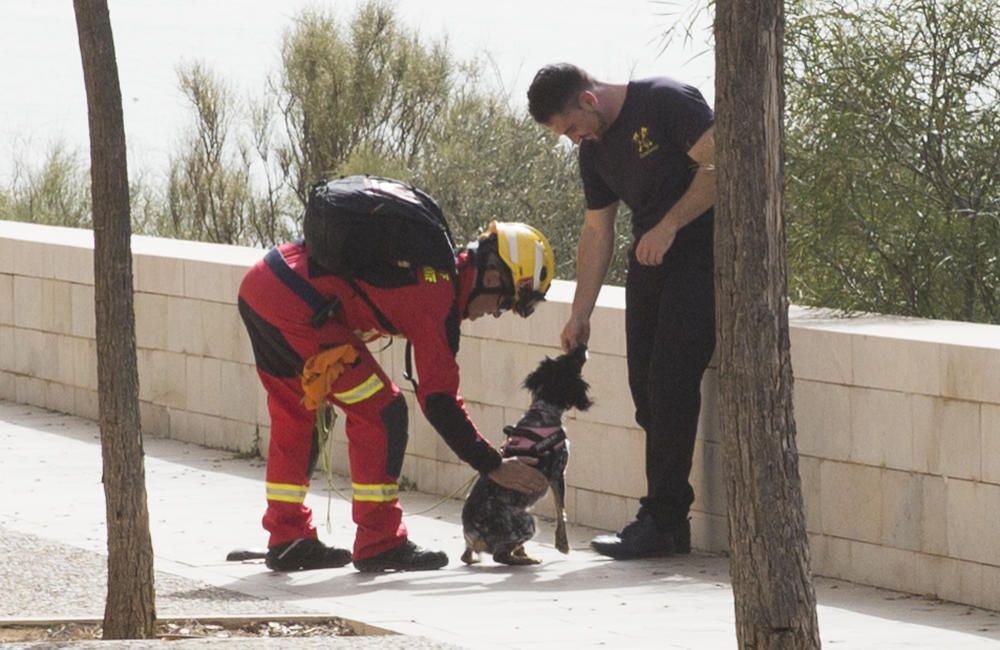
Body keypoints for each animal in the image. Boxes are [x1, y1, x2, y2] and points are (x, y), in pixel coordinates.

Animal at [462, 344, 592, 560]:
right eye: (571, 360)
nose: (582, 346)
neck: (543, 412)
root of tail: (472, 533)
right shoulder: (558, 473)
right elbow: (561, 512)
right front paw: (563, 545)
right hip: (527, 520)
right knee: (500, 555)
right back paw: (527, 559)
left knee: (468, 556)